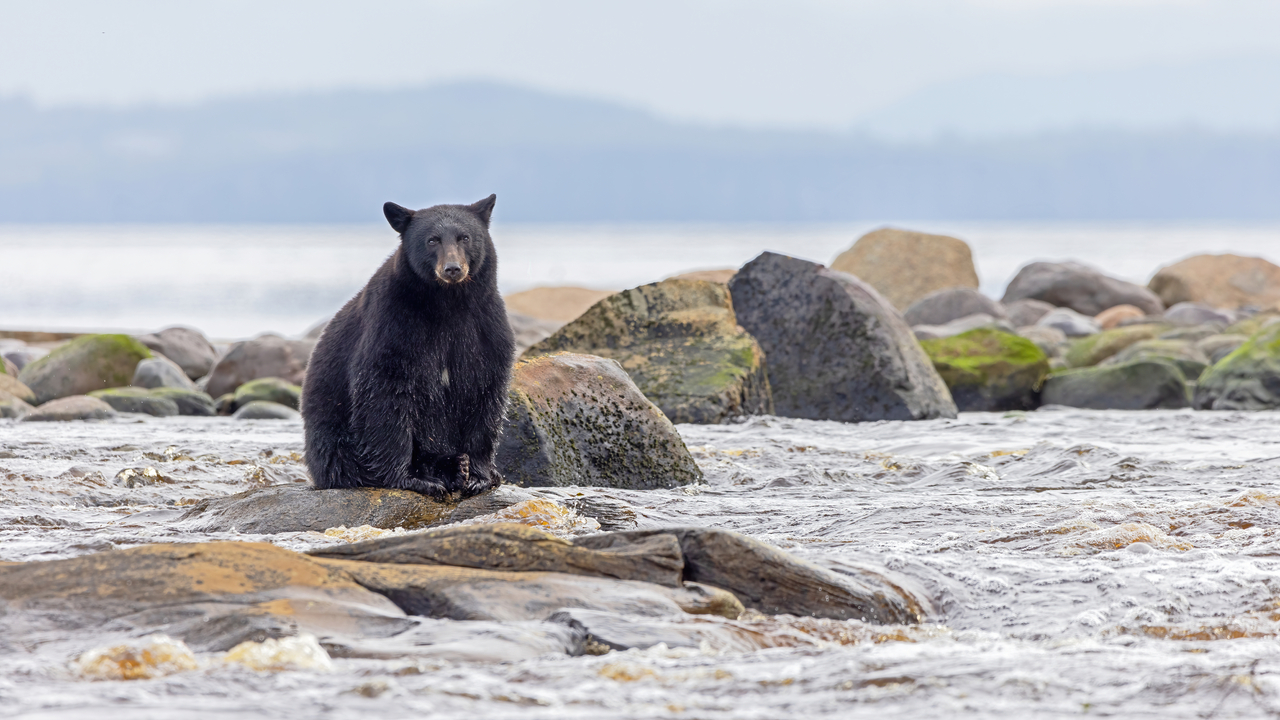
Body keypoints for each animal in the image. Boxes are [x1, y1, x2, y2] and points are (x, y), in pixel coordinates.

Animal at [301, 194, 516, 500]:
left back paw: (459, 466)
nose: (453, 268)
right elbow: (384, 394)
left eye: (464, 237)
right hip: (332, 434)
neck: (449, 304)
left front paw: (480, 476)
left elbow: (485, 394)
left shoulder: (484, 328)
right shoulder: (395, 324)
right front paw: (411, 478)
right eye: (432, 240)